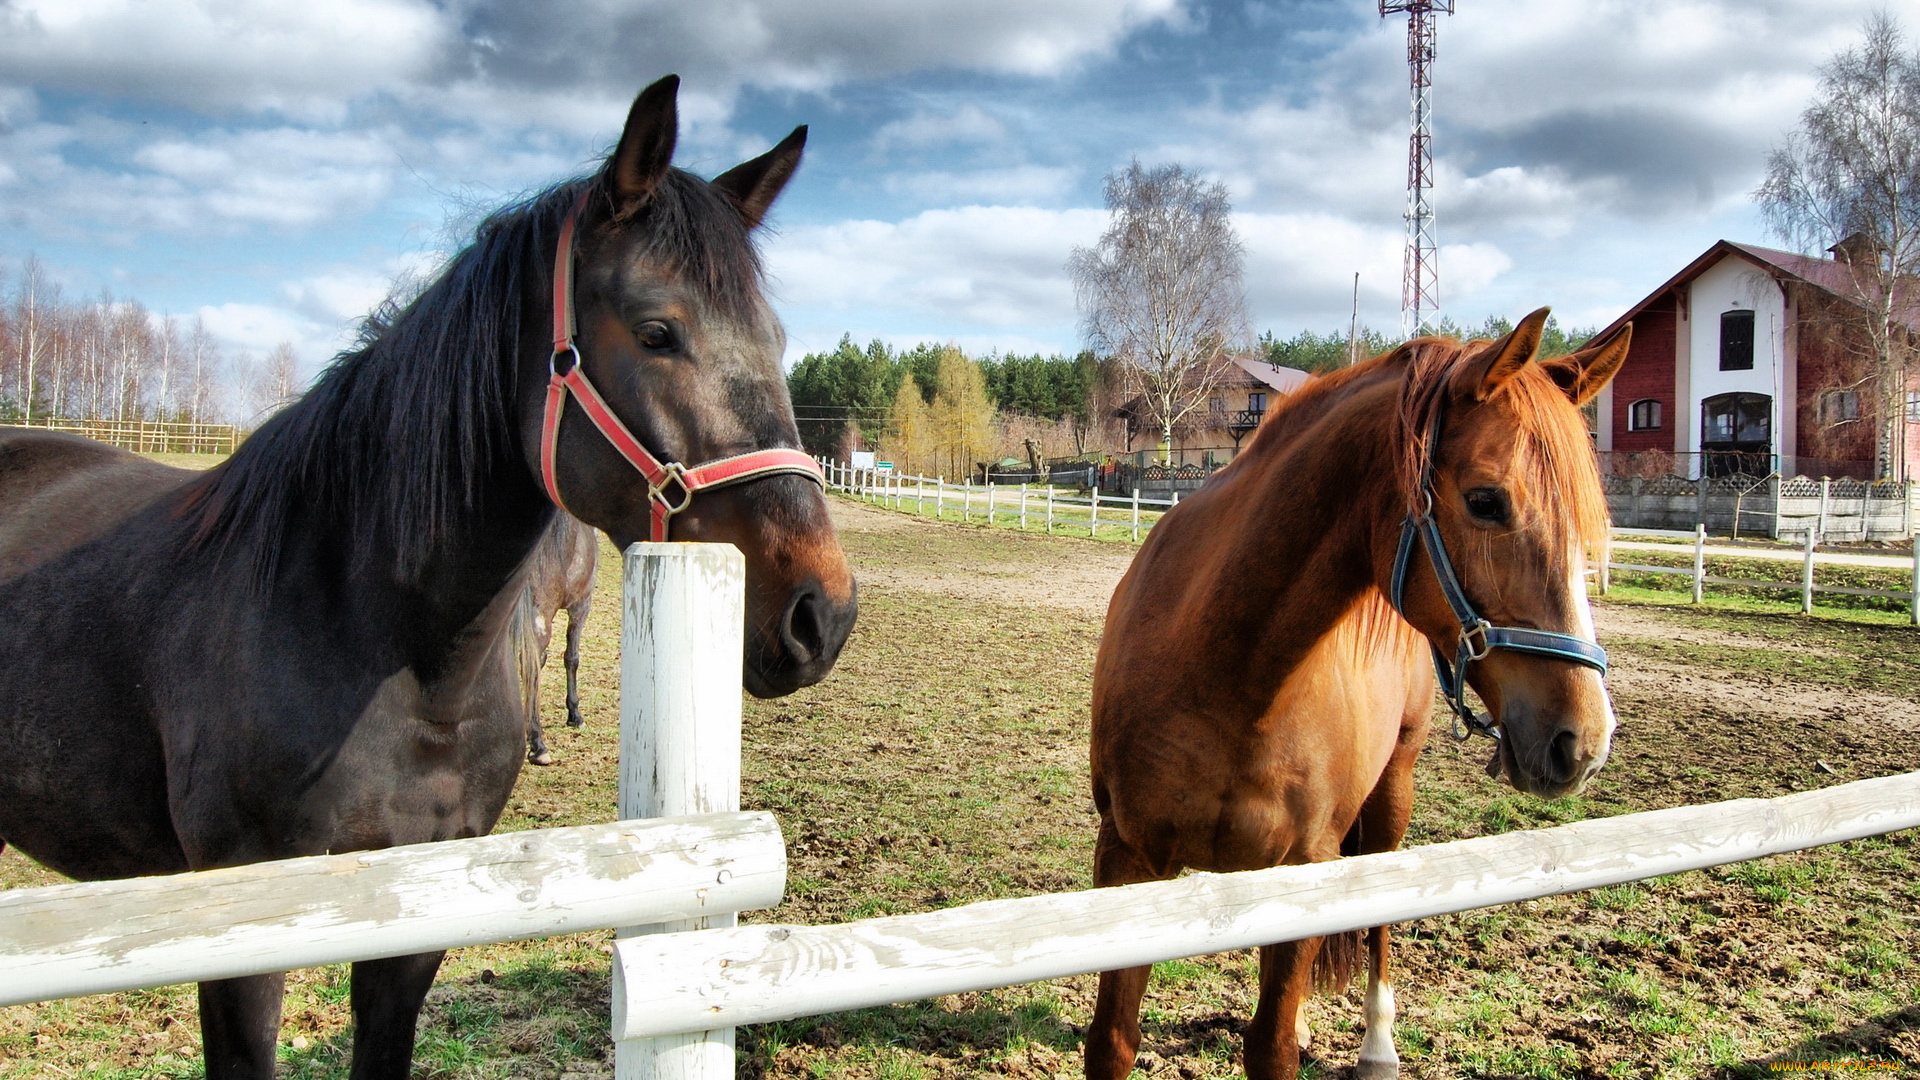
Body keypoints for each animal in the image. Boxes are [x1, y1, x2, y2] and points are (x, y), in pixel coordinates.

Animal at [1090, 311, 1628, 1076]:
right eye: (1486, 501)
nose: (1582, 740)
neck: (1233, 673)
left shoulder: (1306, 869)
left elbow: (1271, 1046)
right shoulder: (1128, 859)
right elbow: (1114, 1040)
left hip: (1391, 794)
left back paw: (1377, 1044)